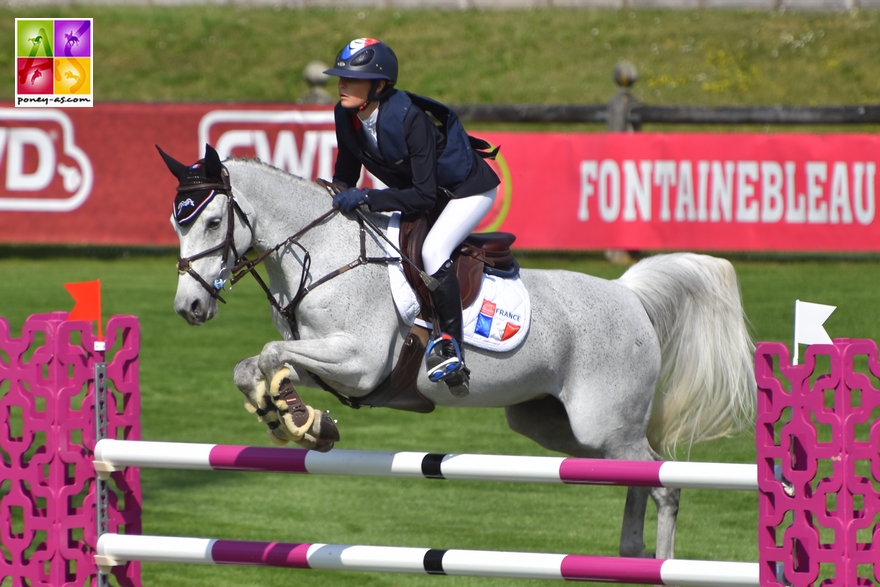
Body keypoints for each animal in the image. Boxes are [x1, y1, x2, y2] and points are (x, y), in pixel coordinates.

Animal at [162, 146, 752, 560]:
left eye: (212, 222)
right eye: (177, 222)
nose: (189, 306)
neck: (325, 253)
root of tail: (628, 295)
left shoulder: (359, 364)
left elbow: (269, 352)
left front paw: (299, 420)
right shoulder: (325, 359)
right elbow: (256, 364)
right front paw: (288, 413)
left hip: (603, 425)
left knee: (664, 486)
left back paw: (661, 562)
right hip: (560, 429)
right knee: (635, 475)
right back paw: (630, 554)